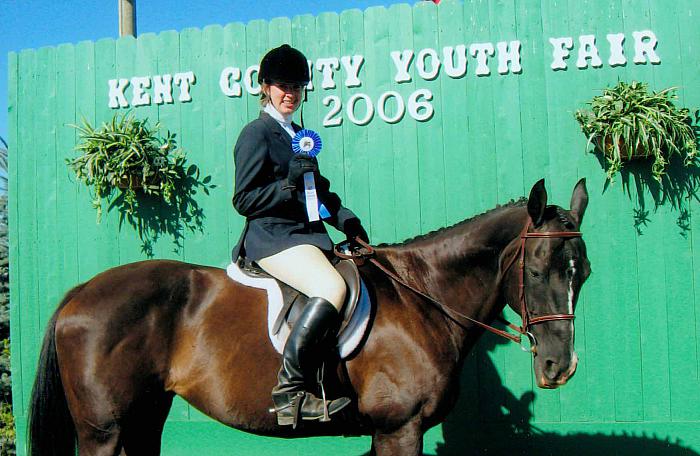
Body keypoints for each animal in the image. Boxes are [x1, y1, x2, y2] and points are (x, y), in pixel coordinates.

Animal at [27, 178, 588, 456]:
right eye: (537, 269)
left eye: (582, 273)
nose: (559, 368)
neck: (425, 297)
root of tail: (79, 293)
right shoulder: (399, 428)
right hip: (103, 430)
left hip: (143, 419)